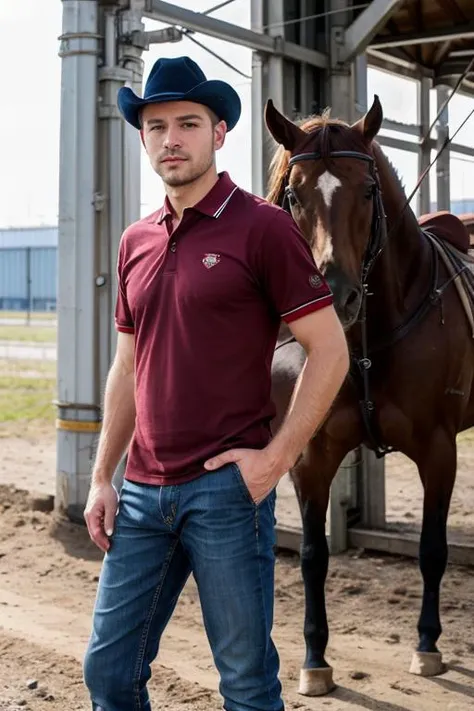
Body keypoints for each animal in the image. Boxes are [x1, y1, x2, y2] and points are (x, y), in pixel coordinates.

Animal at [264, 93, 474, 696]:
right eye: (294, 194)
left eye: (367, 190)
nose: (336, 296)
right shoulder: (311, 454)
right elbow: (312, 556)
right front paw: (315, 661)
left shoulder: (438, 449)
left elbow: (432, 549)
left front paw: (427, 646)